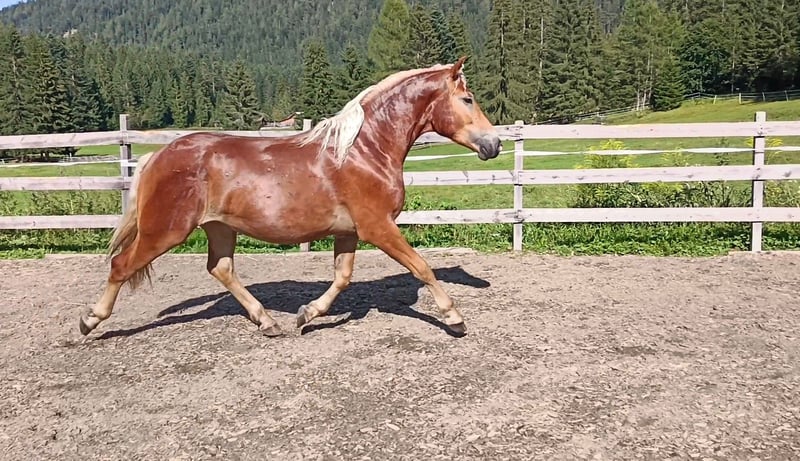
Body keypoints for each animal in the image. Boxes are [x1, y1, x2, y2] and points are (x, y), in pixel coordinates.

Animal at [79, 57, 502, 338]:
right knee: (120, 265)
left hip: (219, 227)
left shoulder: (348, 232)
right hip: (165, 231)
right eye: (467, 99)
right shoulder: (377, 227)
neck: (363, 150)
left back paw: (267, 322)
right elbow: (422, 267)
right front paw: (454, 319)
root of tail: (157, 156)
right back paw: (89, 321)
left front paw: (305, 315)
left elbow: (342, 277)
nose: (494, 144)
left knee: (221, 268)